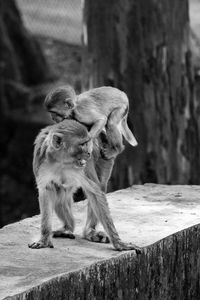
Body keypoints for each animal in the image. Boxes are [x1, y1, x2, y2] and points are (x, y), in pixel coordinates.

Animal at [28, 119, 141, 251]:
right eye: (82, 144)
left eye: (87, 142)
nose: (88, 153)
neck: (61, 161)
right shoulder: (40, 160)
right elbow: (46, 191)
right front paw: (44, 239)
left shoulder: (84, 166)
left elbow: (96, 193)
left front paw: (119, 243)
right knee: (60, 197)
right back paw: (68, 228)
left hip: (105, 157)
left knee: (99, 187)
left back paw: (89, 231)